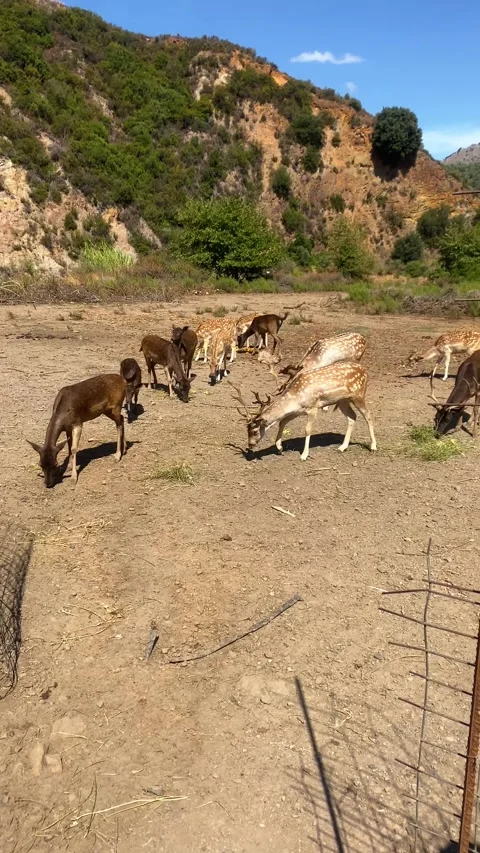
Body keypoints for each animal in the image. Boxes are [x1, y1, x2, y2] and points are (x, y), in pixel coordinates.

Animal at [230, 361, 376, 462]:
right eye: (246, 430)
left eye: (254, 431)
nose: (250, 445)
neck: (295, 398)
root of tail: (365, 371)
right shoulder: (297, 411)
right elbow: (282, 421)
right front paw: (279, 448)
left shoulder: (312, 408)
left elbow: (307, 430)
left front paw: (304, 455)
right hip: (342, 401)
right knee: (352, 417)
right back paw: (342, 447)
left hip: (358, 395)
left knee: (368, 415)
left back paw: (373, 446)